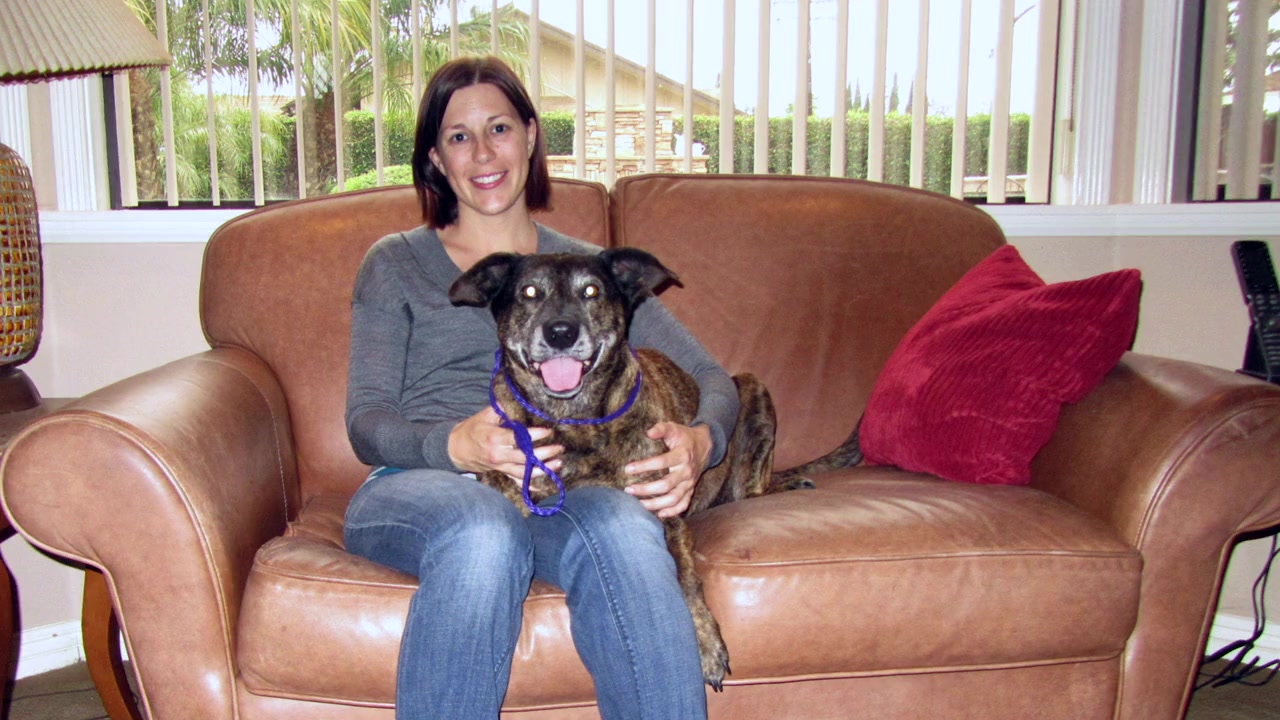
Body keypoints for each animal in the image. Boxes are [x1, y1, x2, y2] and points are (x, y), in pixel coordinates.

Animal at [448, 247, 815, 690]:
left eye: (592, 291)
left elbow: (684, 578)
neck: (573, 421)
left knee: (752, 489)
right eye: (529, 292)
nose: (560, 332)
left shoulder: (666, 511)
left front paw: (705, 643)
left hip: (750, 385)